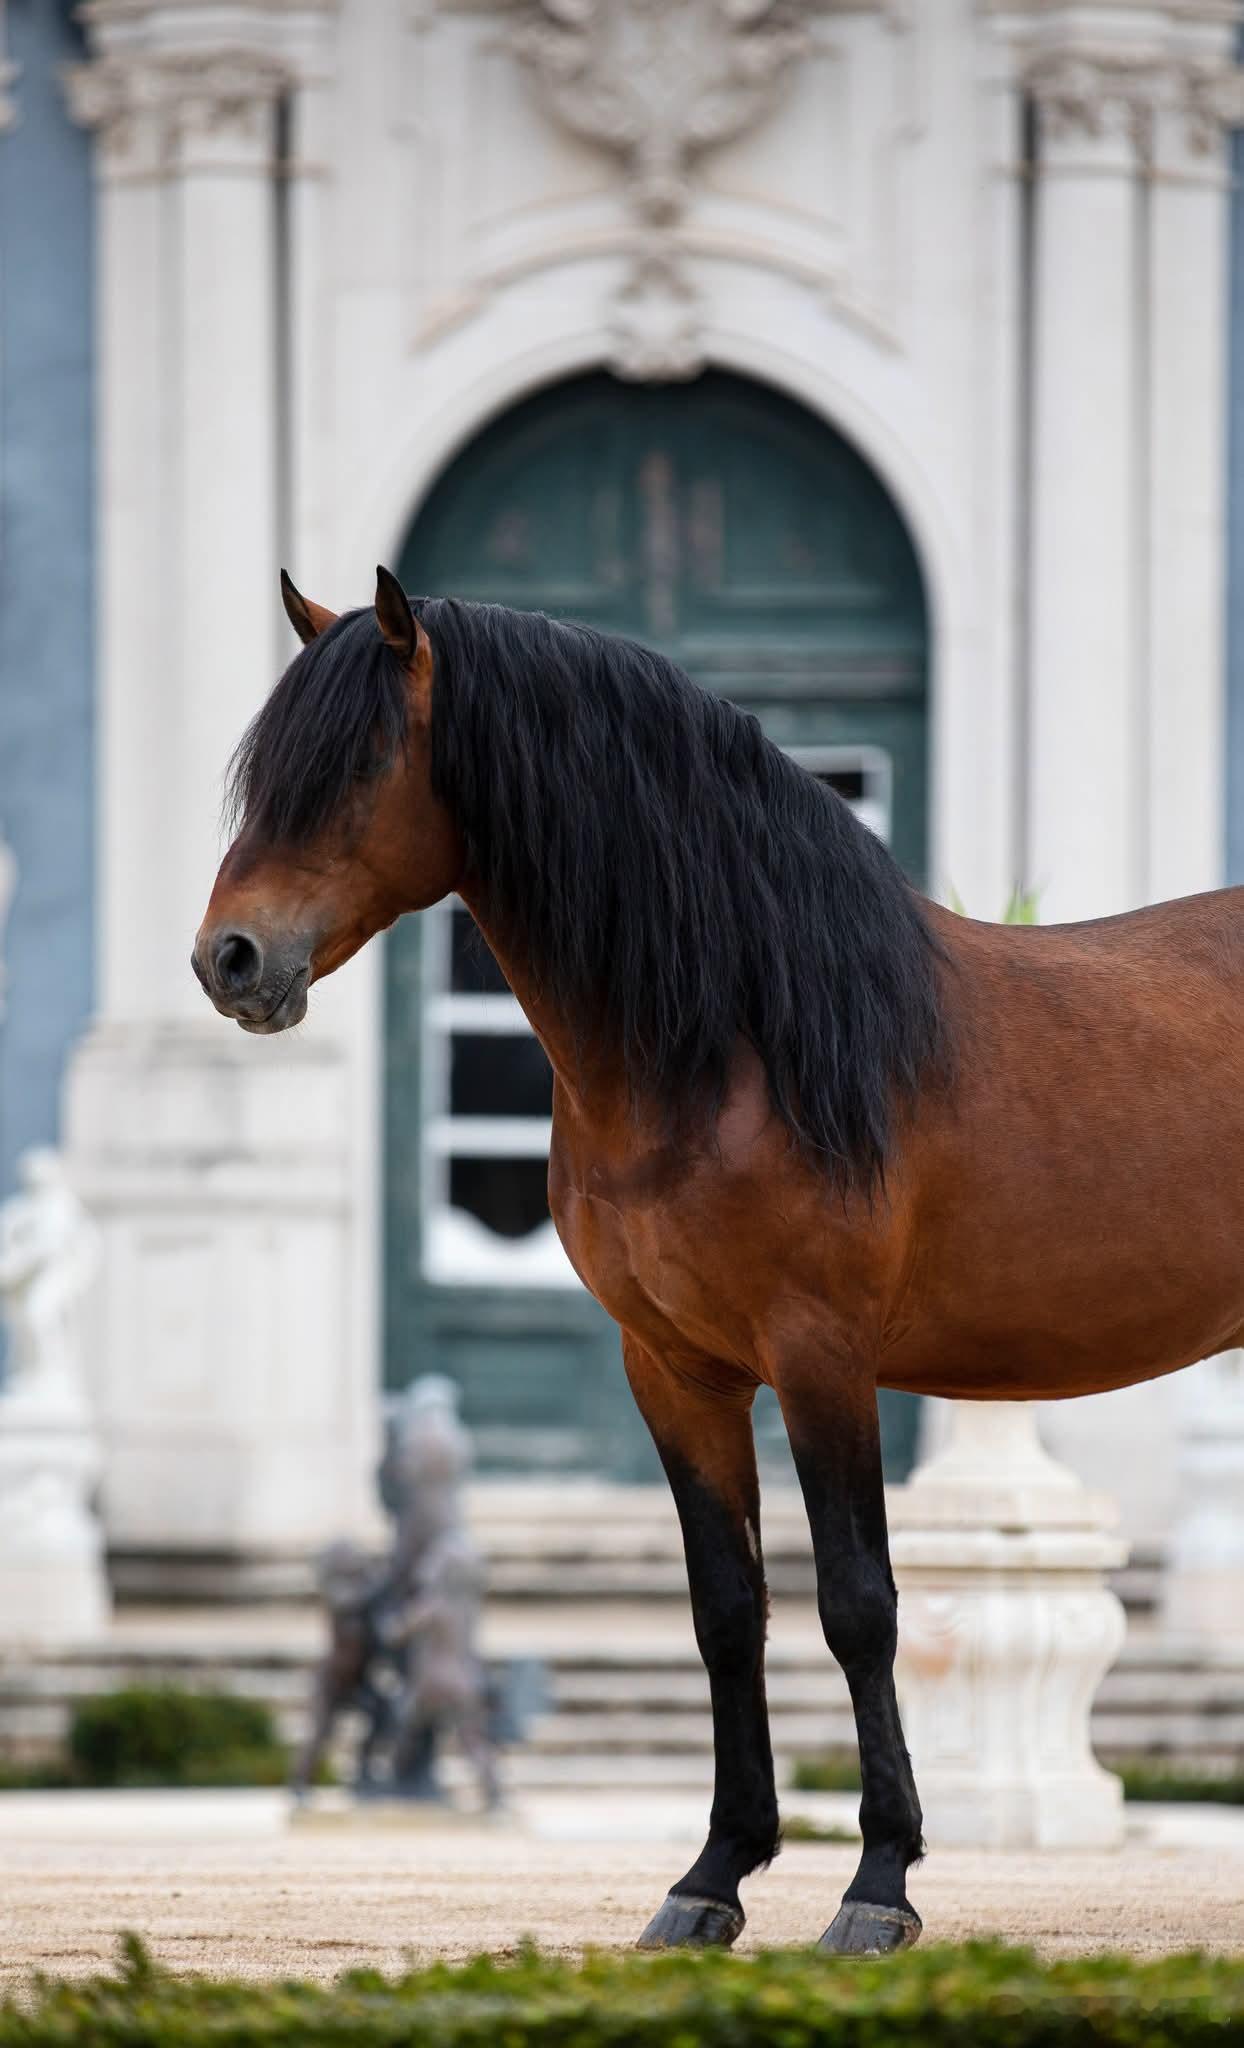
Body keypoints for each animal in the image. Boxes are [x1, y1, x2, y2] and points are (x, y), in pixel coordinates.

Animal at [194, 567, 1244, 1956]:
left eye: (358, 761)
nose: (229, 960)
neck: (733, 1039)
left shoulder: (821, 1359)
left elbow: (856, 1602)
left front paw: (877, 1883)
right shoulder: (674, 1370)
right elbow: (725, 1609)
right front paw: (712, 1874)